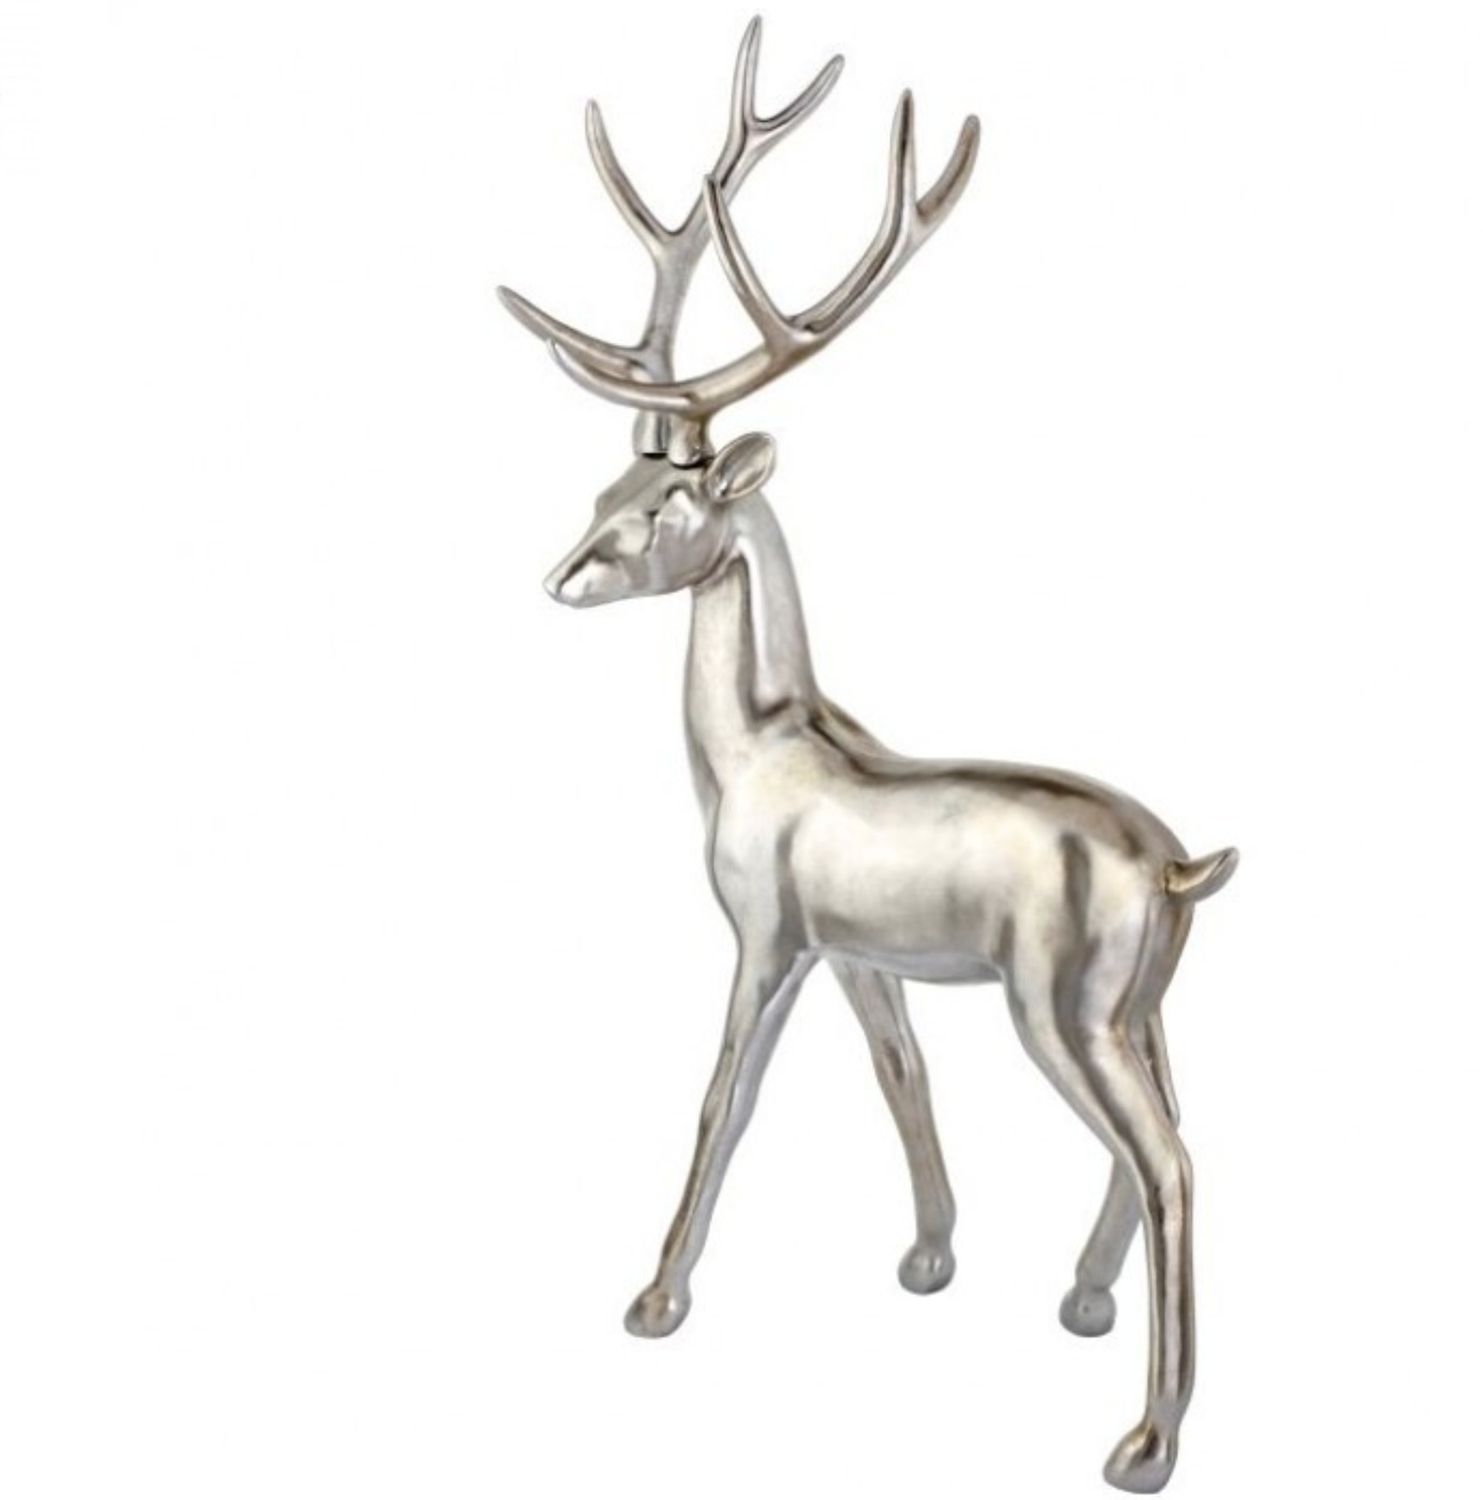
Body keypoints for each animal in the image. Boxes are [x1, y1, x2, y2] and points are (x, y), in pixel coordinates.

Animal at [499, 19, 1236, 1494]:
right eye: (609, 485)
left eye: (663, 504)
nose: (560, 576)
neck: (757, 747)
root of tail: (1178, 868)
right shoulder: (862, 955)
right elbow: (901, 1079)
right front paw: (928, 1258)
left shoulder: (767, 932)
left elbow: (722, 1094)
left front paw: (653, 1300)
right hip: (1141, 1003)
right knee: (1167, 1137)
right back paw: (1078, 1300)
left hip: (1060, 1005)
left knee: (1171, 1160)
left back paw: (1141, 1441)